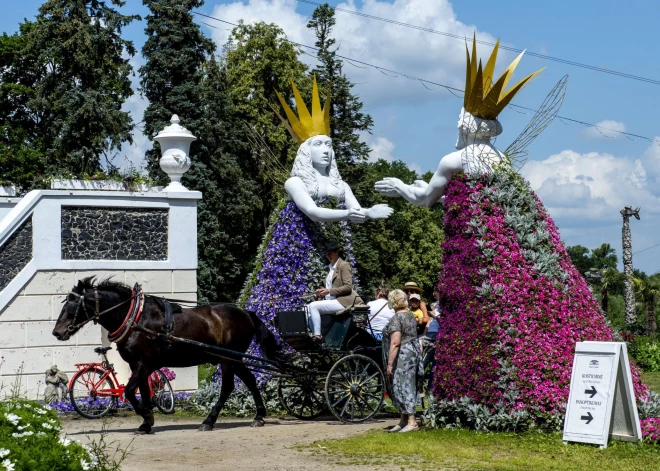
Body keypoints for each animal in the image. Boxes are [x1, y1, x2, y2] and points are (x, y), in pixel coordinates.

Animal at [52, 276, 278, 436]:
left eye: (72, 306)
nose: (57, 332)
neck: (137, 319)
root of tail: (246, 313)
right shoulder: (136, 365)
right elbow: (142, 391)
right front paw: (146, 422)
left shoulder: (145, 362)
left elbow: (129, 391)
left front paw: (147, 416)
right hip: (235, 359)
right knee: (250, 379)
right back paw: (259, 416)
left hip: (227, 359)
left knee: (228, 387)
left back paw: (209, 421)